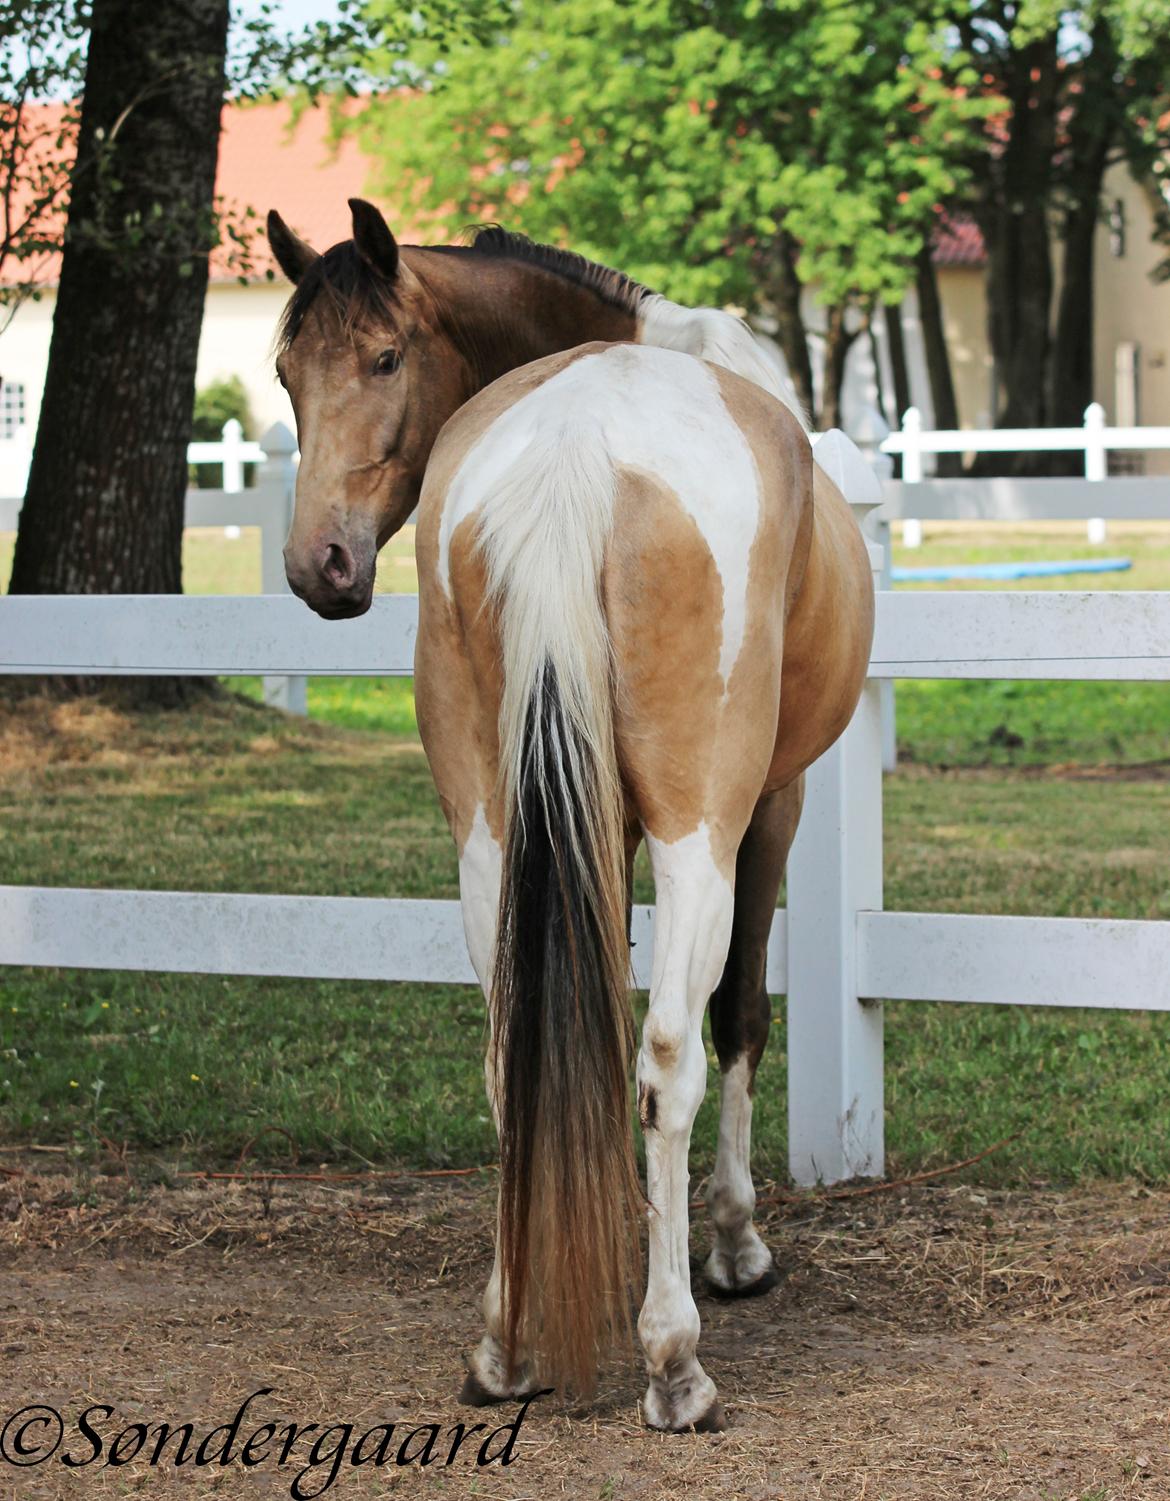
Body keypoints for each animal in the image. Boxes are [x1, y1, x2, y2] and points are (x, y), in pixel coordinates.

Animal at [270, 196, 871, 1428]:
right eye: (287, 376)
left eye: (384, 358)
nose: (320, 564)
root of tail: (576, 446)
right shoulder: (769, 804)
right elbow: (738, 1016)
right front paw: (732, 1245)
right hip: (700, 832)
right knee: (671, 1054)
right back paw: (673, 1357)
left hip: (488, 833)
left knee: (513, 1048)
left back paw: (506, 1341)